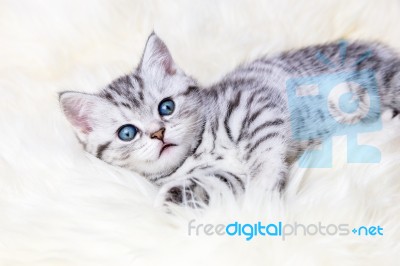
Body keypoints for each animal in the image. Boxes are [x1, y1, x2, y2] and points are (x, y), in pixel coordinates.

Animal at [59, 33, 400, 207]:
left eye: (166, 107)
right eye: (127, 133)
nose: (158, 133)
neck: (198, 152)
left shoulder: (254, 104)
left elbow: (264, 156)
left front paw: (263, 194)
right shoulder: (224, 174)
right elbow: (216, 182)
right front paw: (172, 199)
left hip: (383, 80)